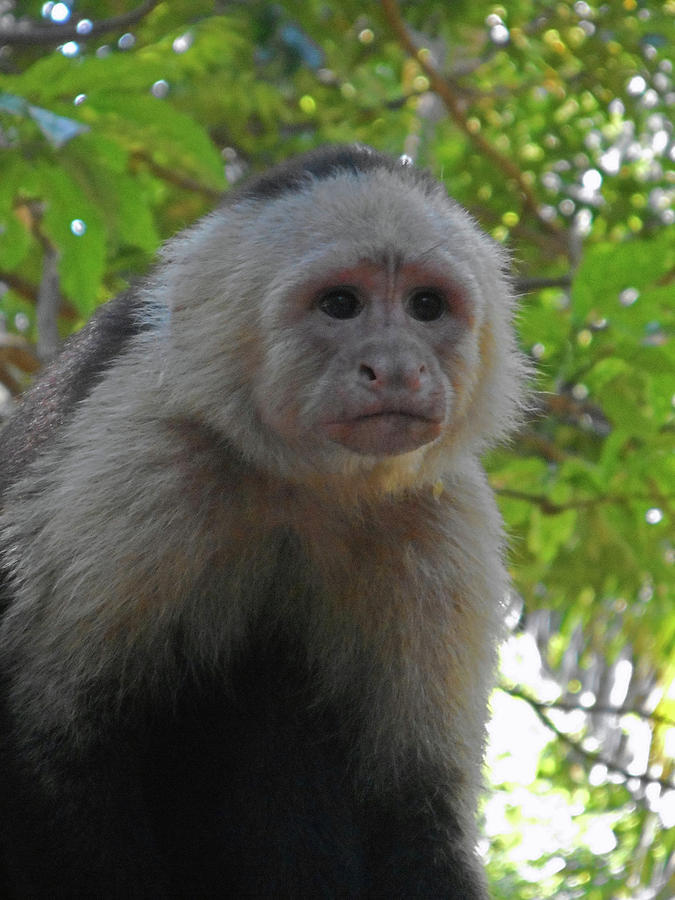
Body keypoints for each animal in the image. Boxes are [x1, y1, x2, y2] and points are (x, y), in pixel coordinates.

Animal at [0, 144, 528, 896]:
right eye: (340, 304)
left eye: (427, 306)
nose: (397, 367)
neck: (304, 484)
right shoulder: (144, 447)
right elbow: (49, 736)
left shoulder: (443, 514)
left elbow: (414, 807)